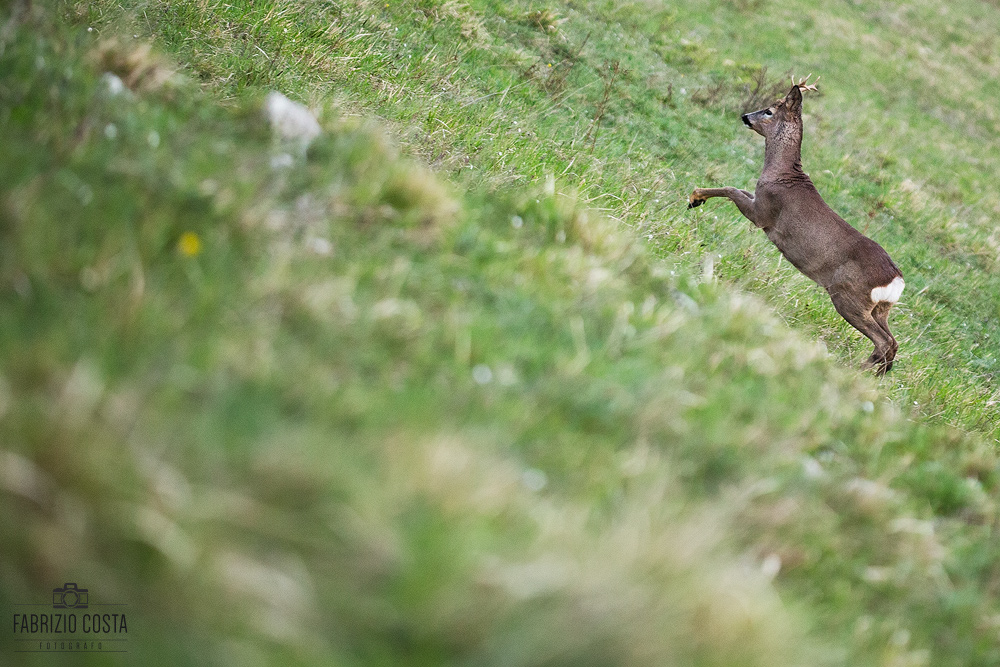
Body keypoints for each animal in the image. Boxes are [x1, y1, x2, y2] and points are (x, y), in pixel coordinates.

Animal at [688, 77, 908, 376]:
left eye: (769, 110)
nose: (745, 116)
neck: (781, 175)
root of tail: (896, 280)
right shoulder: (759, 203)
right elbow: (737, 189)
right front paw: (696, 198)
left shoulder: (764, 214)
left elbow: (731, 189)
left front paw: (694, 197)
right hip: (880, 307)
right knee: (892, 343)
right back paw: (873, 375)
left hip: (849, 297)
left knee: (884, 342)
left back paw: (856, 372)